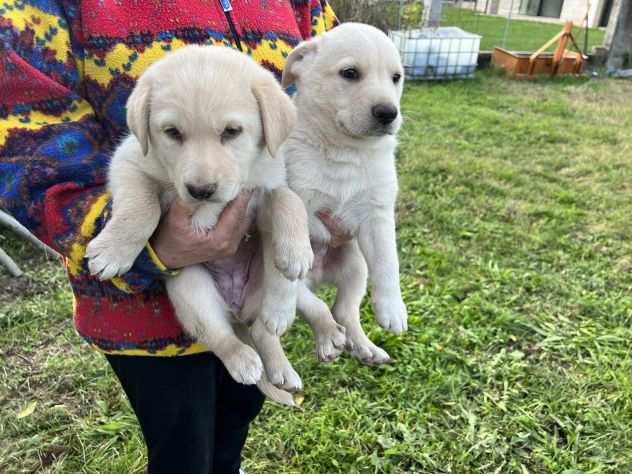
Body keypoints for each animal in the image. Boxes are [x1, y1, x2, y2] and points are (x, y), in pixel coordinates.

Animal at [85, 45, 312, 400]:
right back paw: (244, 360)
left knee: (265, 327)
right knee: (220, 336)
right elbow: (142, 206)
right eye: (172, 133)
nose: (201, 190)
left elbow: (289, 201)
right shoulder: (129, 161)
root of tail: (236, 310)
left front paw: (298, 252)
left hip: (264, 271)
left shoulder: (266, 189)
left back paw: (280, 350)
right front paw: (114, 250)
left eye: (232, 132)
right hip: (190, 287)